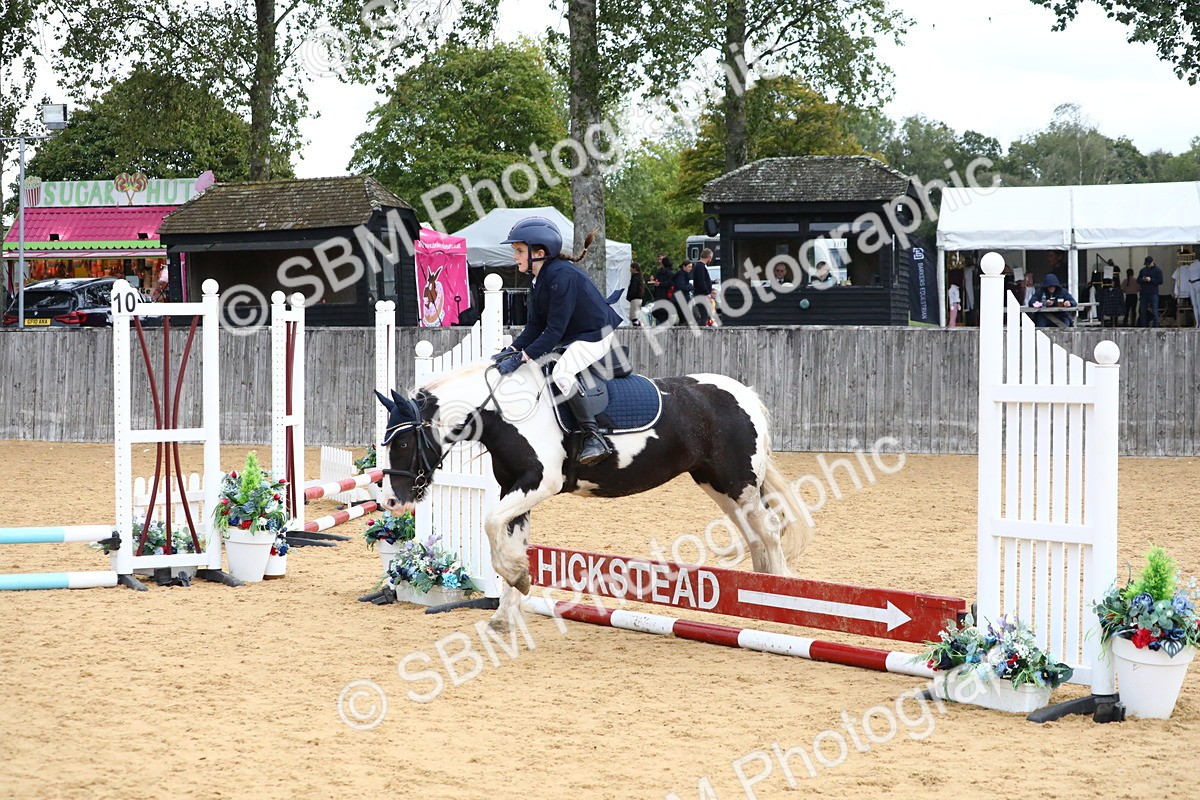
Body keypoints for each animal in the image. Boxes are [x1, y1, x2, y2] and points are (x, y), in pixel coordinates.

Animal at [375, 359, 810, 630]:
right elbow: (506, 538)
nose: (393, 501)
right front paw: (508, 605)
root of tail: (744, 393)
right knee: (754, 533)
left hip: (738, 482)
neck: (506, 415)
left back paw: (782, 597)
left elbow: (491, 524)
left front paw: (517, 578)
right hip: (717, 483)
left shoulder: (539, 483)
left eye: (402, 444)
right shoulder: (513, 488)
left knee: (769, 531)